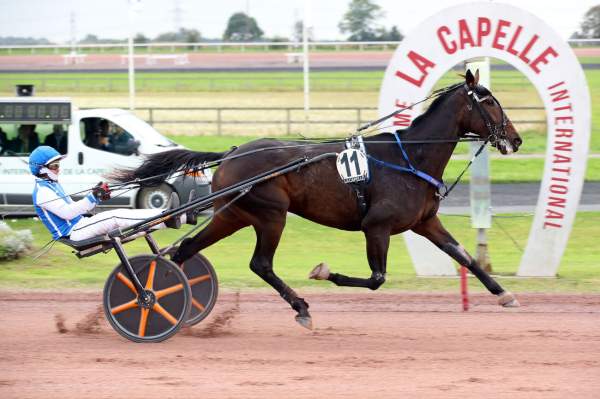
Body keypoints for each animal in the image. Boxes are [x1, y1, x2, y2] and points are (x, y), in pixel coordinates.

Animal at [115, 70, 524, 330]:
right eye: (489, 101)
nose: (516, 140)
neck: (411, 157)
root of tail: (232, 153)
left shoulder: (426, 222)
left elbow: (464, 256)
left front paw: (504, 294)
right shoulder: (377, 226)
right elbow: (376, 278)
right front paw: (323, 272)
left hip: (234, 215)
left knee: (185, 251)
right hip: (271, 214)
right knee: (260, 264)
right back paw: (299, 307)